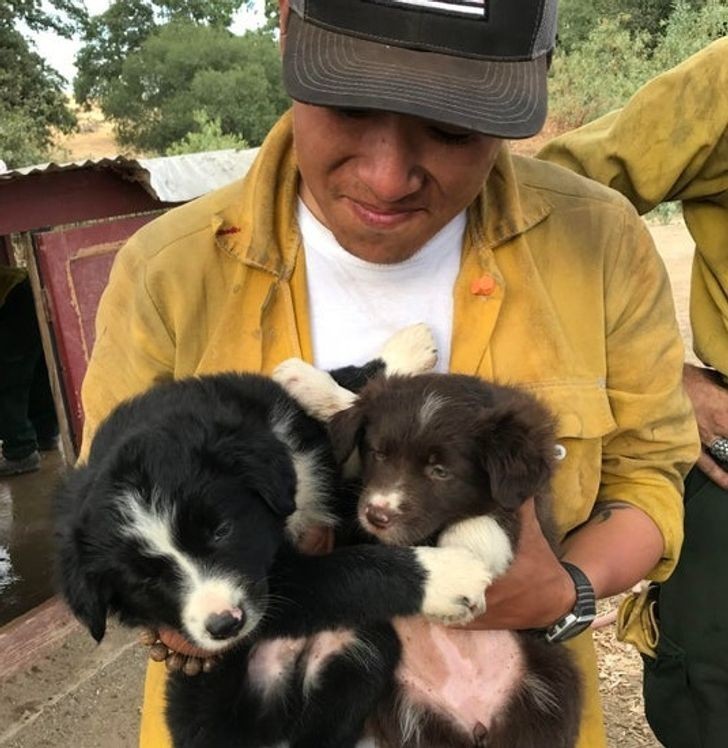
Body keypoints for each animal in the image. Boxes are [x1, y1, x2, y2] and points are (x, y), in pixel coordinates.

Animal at [54, 328, 492, 748]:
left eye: (222, 530)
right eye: (145, 579)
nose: (224, 626)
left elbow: (351, 407)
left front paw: (400, 351)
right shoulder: (279, 588)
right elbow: (349, 568)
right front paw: (449, 576)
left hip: (360, 654)